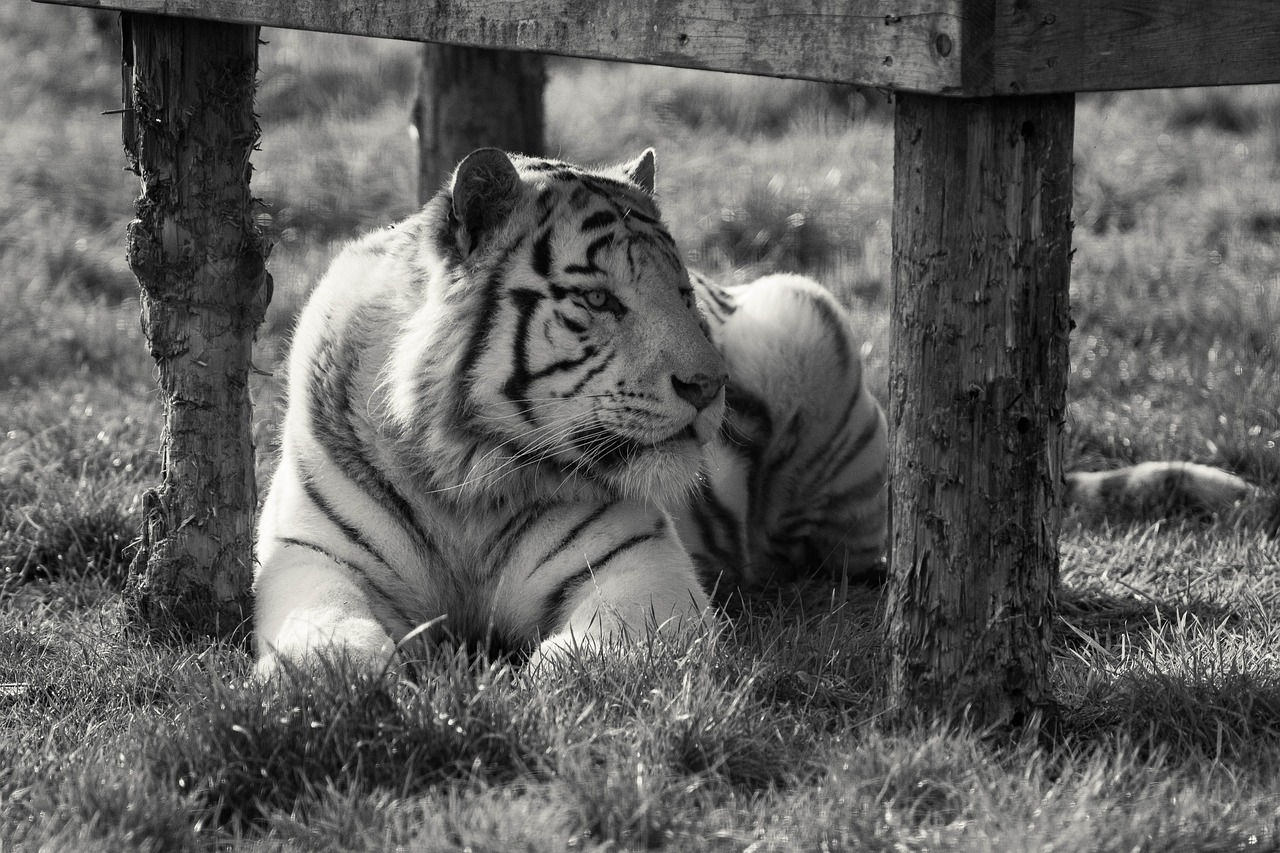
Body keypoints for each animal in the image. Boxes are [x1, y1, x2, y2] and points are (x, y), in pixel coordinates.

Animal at [252, 149, 1259, 676]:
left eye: (677, 289)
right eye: (601, 300)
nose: (709, 389)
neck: (467, 471)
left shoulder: (642, 572)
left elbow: (592, 656)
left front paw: (532, 680)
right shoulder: (310, 557)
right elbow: (323, 639)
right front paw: (349, 674)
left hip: (806, 320)